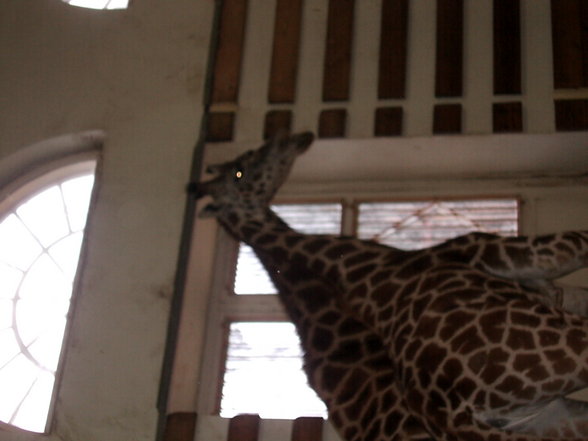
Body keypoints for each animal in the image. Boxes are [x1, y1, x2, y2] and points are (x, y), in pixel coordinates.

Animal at [194, 131, 588, 440]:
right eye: (240, 170)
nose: (292, 137)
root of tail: (452, 414)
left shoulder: (550, 289)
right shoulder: (539, 255)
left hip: (552, 414)